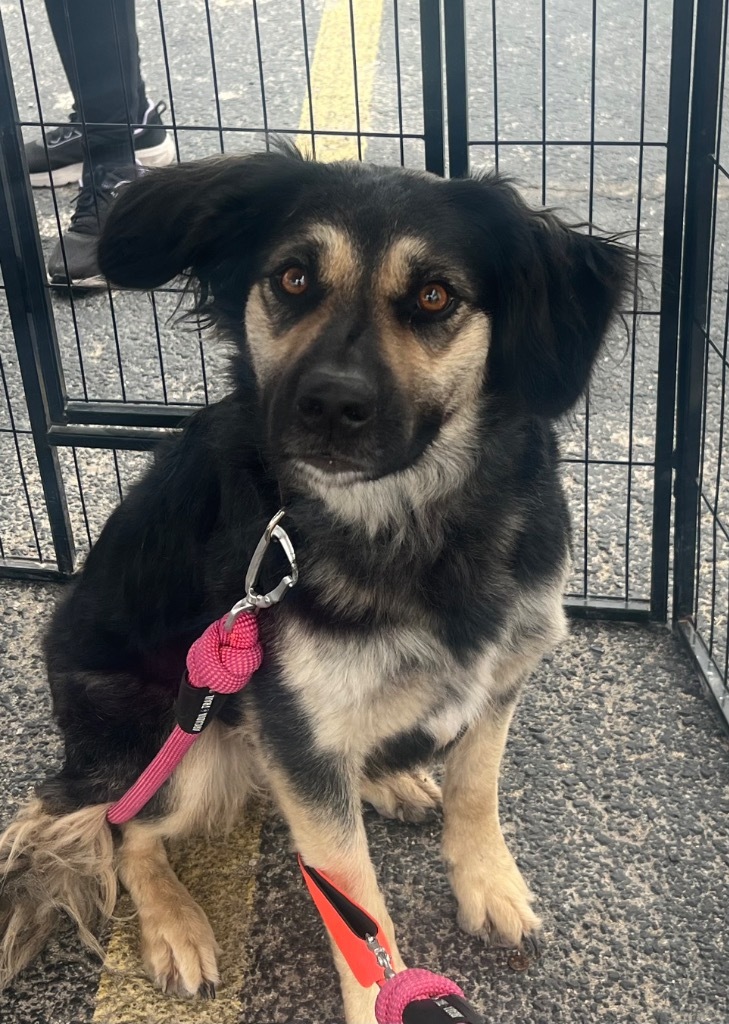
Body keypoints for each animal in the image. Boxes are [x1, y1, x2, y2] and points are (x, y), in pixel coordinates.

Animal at [0, 148, 626, 1019]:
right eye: (292, 279)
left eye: (434, 296)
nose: (329, 403)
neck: (415, 521)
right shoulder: (295, 723)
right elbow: (353, 896)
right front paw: (381, 995)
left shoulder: (500, 671)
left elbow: (476, 786)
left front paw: (489, 884)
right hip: (183, 737)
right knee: (123, 826)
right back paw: (174, 922)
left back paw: (389, 778)